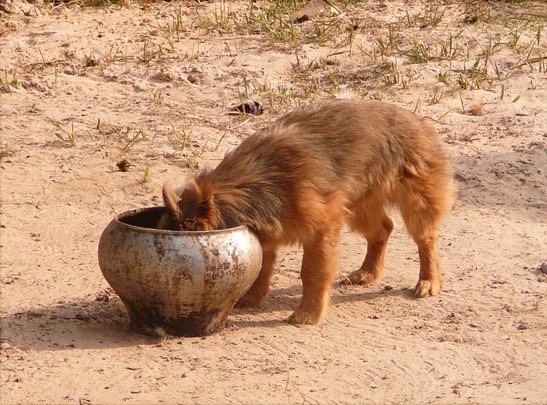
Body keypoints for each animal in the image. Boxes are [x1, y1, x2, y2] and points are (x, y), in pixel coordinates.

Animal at [158, 100, 454, 326]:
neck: (251, 186)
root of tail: (420, 121)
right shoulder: (266, 237)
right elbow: (262, 268)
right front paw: (252, 298)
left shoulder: (321, 231)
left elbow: (312, 273)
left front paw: (307, 314)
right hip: (359, 207)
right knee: (383, 229)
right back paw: (368, 272)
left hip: (415, 205)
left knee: (425, 242)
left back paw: (428, 280)